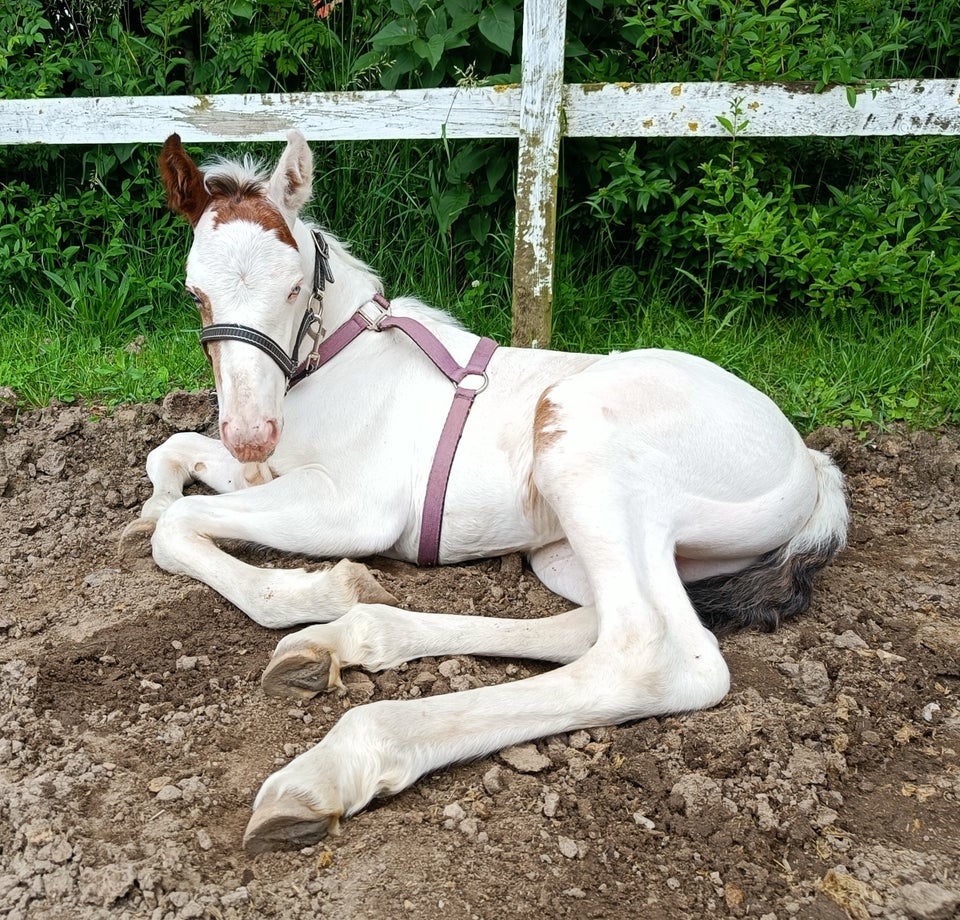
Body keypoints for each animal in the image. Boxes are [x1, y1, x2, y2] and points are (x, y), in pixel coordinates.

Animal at [122, 131, 848, 856]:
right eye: (194, 292)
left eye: (294, 284)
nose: (249, 432)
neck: (339, 362)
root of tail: (808, 460)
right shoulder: (273, 472)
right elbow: (171, 454)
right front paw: (150, 508)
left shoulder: (351, 508)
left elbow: (182, 525)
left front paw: (326, 590)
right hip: (577, 553)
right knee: (595, 622)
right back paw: (344, 643)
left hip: (581, 443)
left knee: (656, 653)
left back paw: (336, 762)